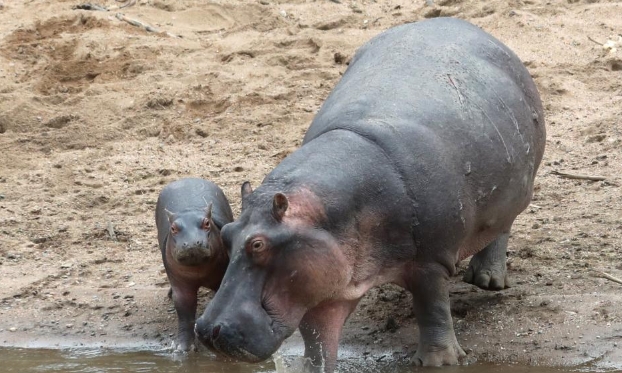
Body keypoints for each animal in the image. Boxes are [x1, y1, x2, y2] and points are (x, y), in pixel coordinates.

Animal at [156, 177, 234, 352]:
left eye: (207, 223)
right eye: (173, 228)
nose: (192, 243)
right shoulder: (181, 285)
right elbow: (184, 310)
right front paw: (181, 348)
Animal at [195, 18, 544, 372]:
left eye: (258, 245)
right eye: (227, 234)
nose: (208, 331)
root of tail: (466, 25)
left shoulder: (430, 260)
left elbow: (432, 308)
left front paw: (440, 362)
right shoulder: (322, 280)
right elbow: (318, 339)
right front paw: (315, 367)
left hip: (512, 194)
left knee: (501, 229)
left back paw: (487, 280)